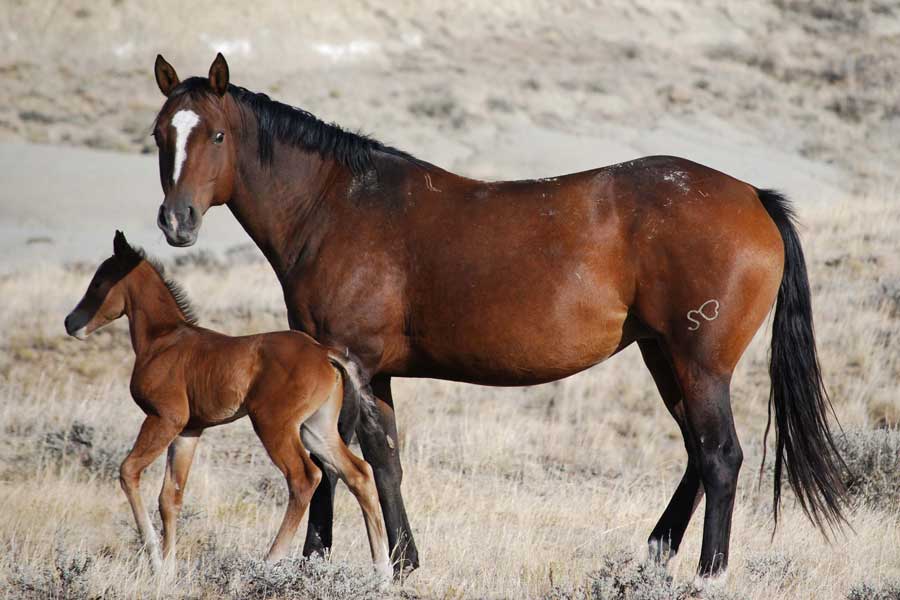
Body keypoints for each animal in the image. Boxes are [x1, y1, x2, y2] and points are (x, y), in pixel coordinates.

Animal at [59, 232, 390, 580]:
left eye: (99, 281)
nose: (71, 322)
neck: (163, 340)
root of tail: (324, 352)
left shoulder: (163, 419)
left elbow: (128, 471)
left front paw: (156, 562)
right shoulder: (189, 431)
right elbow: (170, 496)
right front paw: (169, 570)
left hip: (274, 426)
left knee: (304, 478)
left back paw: (268, 562)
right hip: (316, 429)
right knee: (359, 473)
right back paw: (383, 574)